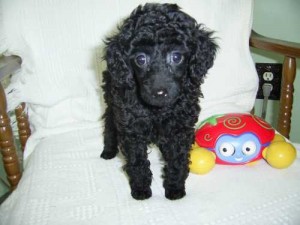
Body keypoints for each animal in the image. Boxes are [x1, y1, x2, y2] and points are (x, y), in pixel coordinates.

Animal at [102, 3, 217, 200]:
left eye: (176, 57)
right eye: (141, 59)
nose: (159, 92)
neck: (157, 110)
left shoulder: (180, 128)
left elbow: (178, 159)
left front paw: (175, 187)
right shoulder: (131, 127)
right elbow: (137, 161)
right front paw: (141, 189)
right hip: (112, 98)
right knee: (109, 123)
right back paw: (108, 151)